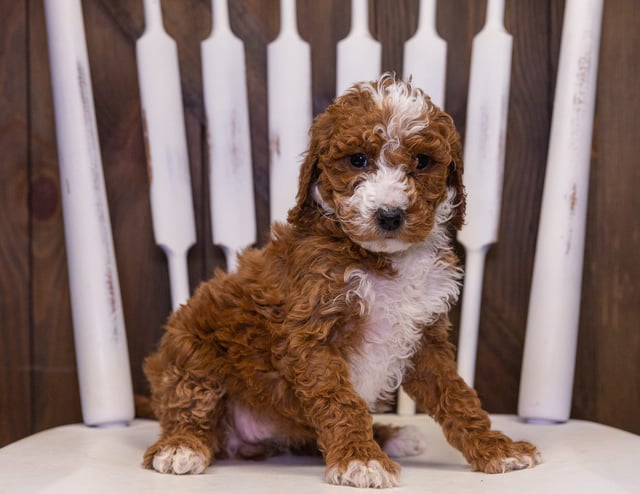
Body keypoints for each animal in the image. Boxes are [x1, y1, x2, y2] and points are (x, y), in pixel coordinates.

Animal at [144, 75, 540, 488]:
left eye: (422, 162)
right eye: (358, 160)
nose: (390, 215)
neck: (383, 258)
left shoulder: (426, 339)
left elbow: (457, 396)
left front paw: (497, 448)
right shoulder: (311, 335)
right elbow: (340, 401)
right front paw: (360, 459)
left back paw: (392, 436)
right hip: (189, 350)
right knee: (189, 406)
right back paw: (181, 447)